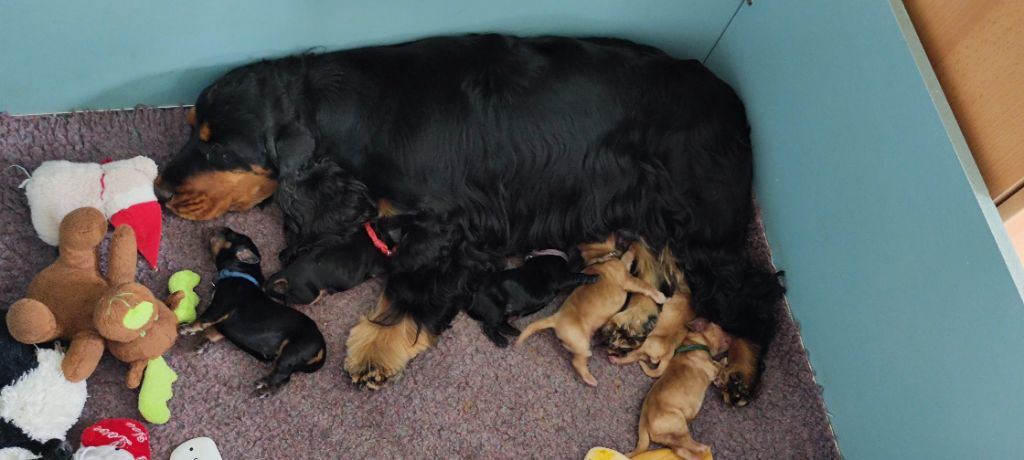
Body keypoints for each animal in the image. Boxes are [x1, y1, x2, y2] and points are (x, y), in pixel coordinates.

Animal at [178, 227, 325, 395]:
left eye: (229, 234)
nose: (214, 228)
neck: (239, 272)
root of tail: (321, 343)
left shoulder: (220, 306)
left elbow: (203, 319)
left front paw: (187, 329)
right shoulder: (222, 323)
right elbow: (212, 331)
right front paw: (202, 344)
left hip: (292, 351)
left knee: (281, 374)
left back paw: (263, 383)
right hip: (294, 360)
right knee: (285, 379)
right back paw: (267, 391)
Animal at [466, 248, 598, 346]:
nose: (587, 261)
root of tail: (473, 300)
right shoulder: (562, 277)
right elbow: (578, 276)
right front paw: (593, 277)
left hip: (504, 310)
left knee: (501, 323)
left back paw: (512, 330)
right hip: (495, 309)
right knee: (489, 326)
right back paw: (500, 340)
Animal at [516, 236, 667, 383]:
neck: (601, 257)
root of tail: (556, 318)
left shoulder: (624, 265)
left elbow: (628, 256)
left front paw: (633, 246)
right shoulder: (628, 280)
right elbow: (645, 286)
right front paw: (659, 296)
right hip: (581, 342)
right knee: (577, 362)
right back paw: (590, 379)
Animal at [626, 319, 733, 458]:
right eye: (720, 328)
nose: (732, 337)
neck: (694, 343)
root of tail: (643, 422)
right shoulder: (712, 368)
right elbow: (720, 365)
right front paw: (725, 362)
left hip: (670, 436)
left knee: (680, 449)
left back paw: (695, 456)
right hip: (678, 423)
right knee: (686, 441)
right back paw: (701, 448)